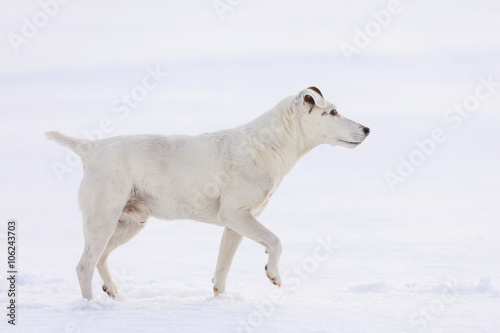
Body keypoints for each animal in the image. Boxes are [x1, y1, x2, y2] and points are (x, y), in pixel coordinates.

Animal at [46, 87, 368, 300]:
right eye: (333, 112)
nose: (367, 129)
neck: (270, 145)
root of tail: (92, 147)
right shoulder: (236, 215)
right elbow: (275, 241)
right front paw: (273, 273)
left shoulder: (235, 225)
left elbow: (222, 268)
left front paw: (220, 301)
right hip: (103, 220)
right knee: (84, 265)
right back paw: (91, 307)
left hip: (129, 224)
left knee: (100, 259)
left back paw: (113, 293)